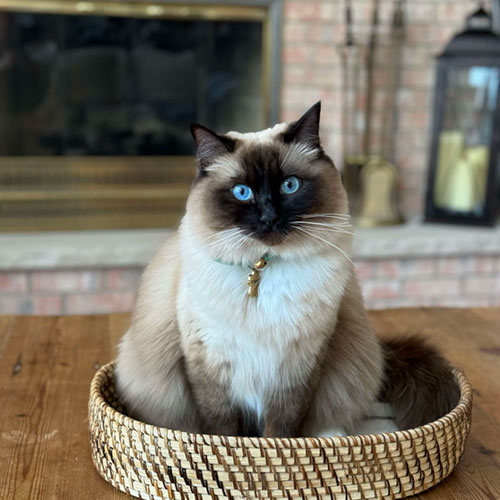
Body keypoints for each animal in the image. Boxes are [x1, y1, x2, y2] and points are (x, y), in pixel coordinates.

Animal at [115, 102, 458, 438]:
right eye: (242, 192)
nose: (270, 217)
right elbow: (222, 430)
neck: (263, 267)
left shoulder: (296, 369)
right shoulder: (211, 365)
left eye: (289, 185)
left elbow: (281, 430)